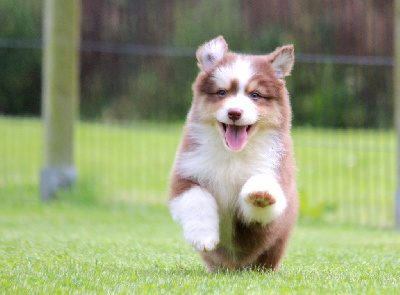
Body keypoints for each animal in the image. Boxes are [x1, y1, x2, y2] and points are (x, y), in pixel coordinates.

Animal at [168, 35, 296, 272]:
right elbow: (197, 198)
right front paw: (203, 237)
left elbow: (262, 196)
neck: (232, 155)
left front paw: (260, 194)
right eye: (222, 92)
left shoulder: (276, 172)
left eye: (255, 95)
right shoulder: (186, 172)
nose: (234, 112)